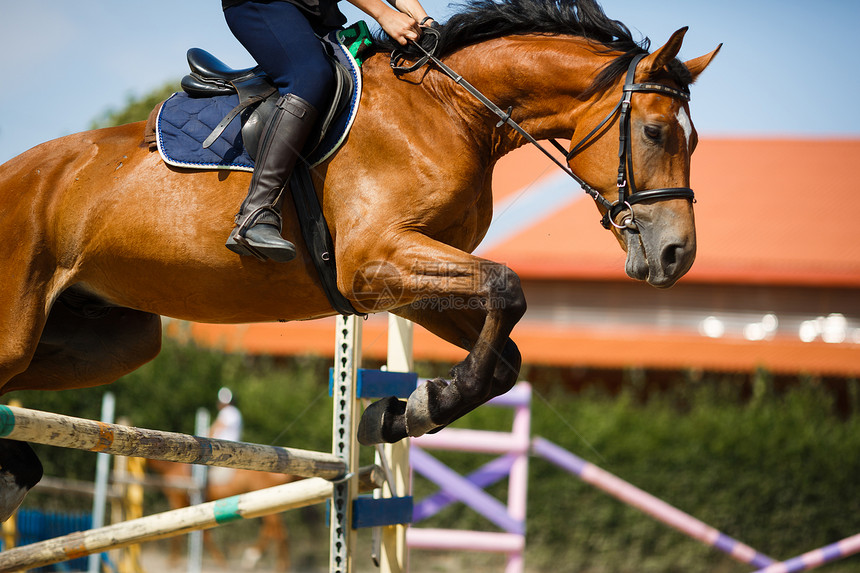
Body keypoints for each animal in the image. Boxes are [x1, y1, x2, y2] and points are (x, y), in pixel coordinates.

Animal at [0, 0, 720, 520]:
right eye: (655, 132)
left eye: (692, 141)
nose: (676, 255)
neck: (450, 111)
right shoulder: (375, 260)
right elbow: (508, 287)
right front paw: (417, 405)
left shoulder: (408, 280)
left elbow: (504, 353)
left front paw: (407, 411)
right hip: (21, 326)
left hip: (111, 340)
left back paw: (16, 467)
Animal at [146, 458, 298, 568]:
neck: (169, 467)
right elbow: (203, 534)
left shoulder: (178, 500)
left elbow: (182, 536)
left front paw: (172, 562)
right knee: (276, 531)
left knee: (278, 533)